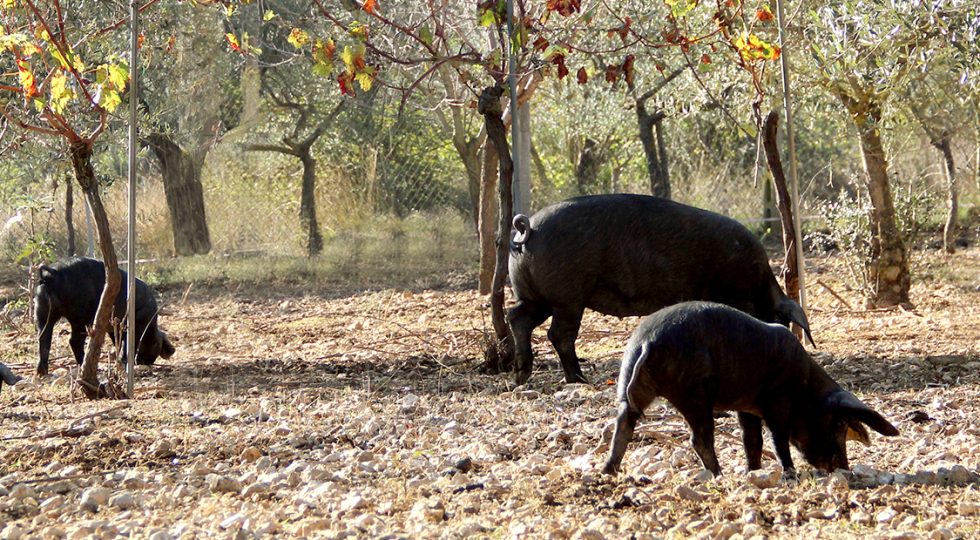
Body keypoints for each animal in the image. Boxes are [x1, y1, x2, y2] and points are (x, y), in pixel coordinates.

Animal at [34, 257, 175, 376]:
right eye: (155, 344)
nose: (144, 362)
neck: (150, 325)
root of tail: (53, 275)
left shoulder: (114, 327)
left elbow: (117, 342)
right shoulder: (134, 323)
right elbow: (126, 344)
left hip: (43, 312)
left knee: (43, 338)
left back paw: (42, 373)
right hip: (80, 317)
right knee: (73, 341)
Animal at [508, 193, 813, 385]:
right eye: (781, 321)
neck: (761, 283)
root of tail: (528, 229)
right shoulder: (737, 297)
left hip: (537, 297)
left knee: (518, 317)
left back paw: (522, 376)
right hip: (568, 297)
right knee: (558, 334)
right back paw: (580, 380)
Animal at [603, 302, 899, 476]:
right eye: (837, 424)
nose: (844, 469)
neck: (806, 388)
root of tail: (647, 342)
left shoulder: (746, 407)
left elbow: (752, 441)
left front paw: (753, 471)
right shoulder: (777, 399)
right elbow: (778, 438)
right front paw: (789, 473)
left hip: (627, 385)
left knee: (623, 426)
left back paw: (609, 471)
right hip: (694, 394)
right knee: (699, 439)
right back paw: (719, 474)